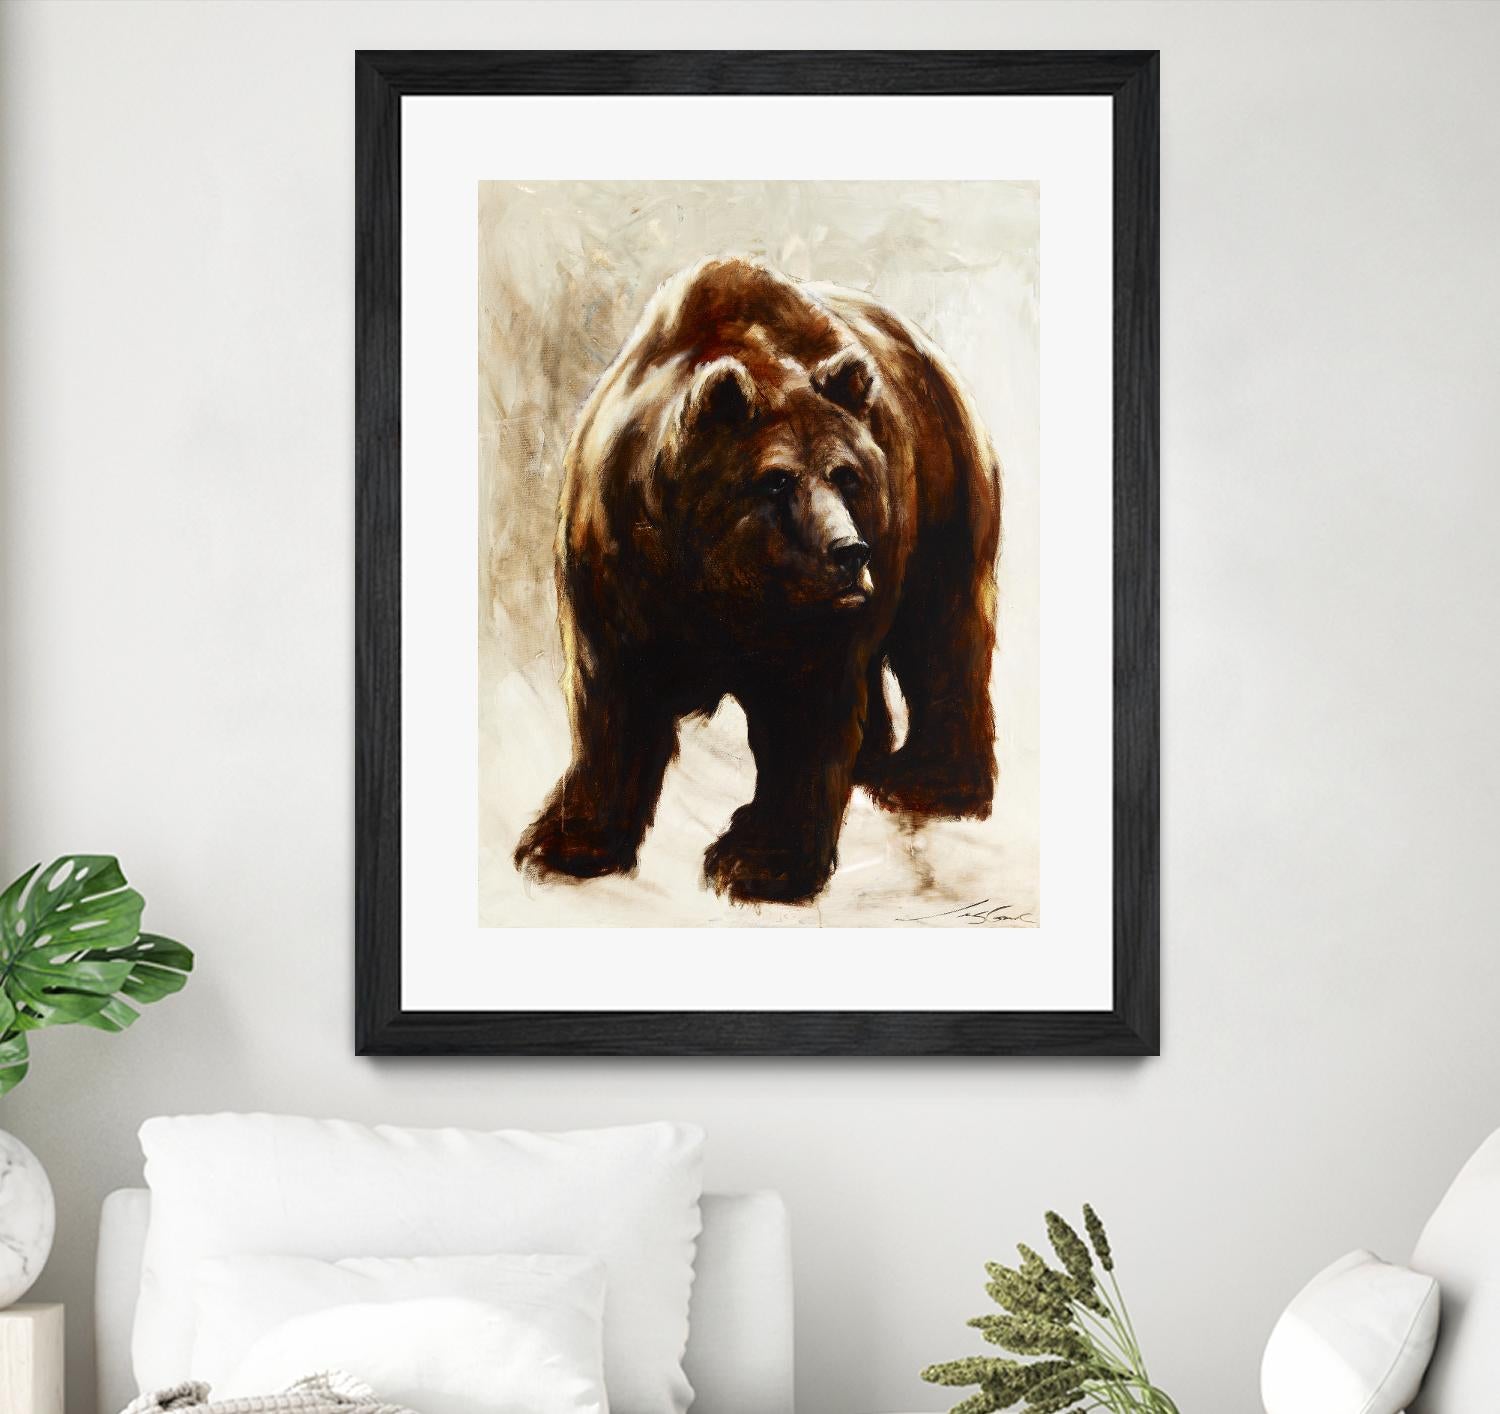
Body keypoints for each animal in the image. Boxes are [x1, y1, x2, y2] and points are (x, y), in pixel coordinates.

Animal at [514, 256, 1002, 905]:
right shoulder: (618, 573)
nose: (849, 551)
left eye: (845, 475)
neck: (716, 583)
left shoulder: (808, 618)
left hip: (943, 492)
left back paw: (928, 780)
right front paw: (567, 842)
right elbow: (612, 701)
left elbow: (806, 712)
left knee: (942, 631)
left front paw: (758, 861)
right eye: (776, 480)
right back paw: (873, 763)